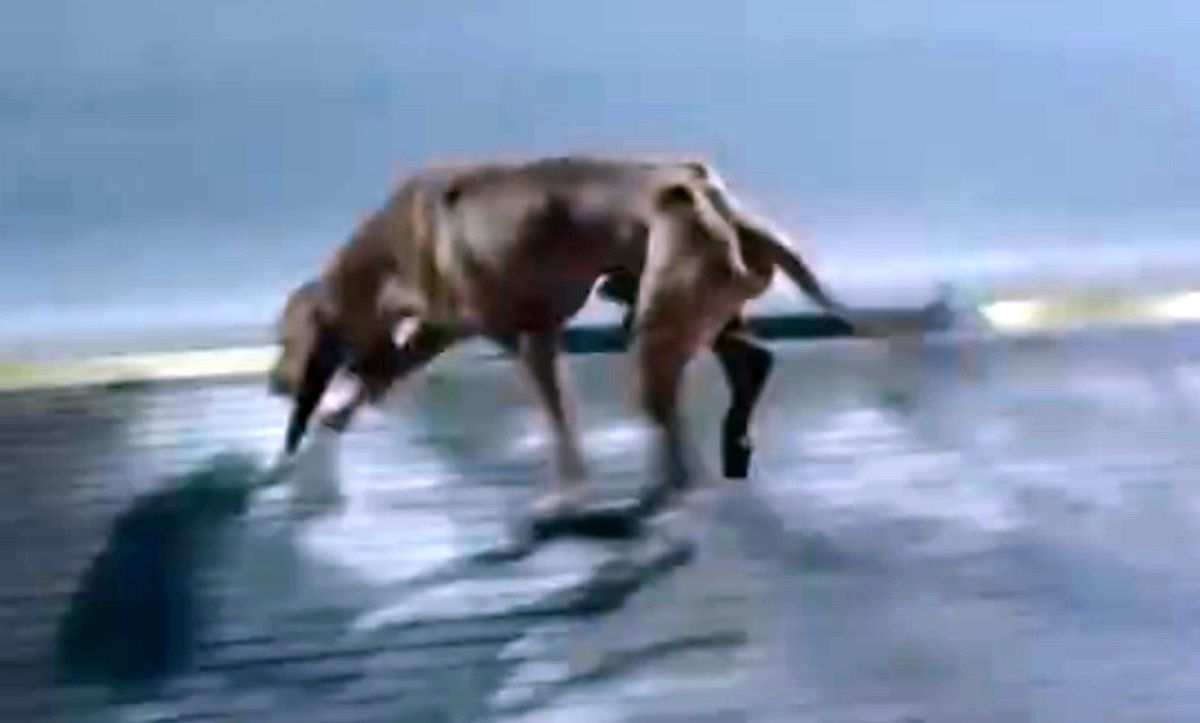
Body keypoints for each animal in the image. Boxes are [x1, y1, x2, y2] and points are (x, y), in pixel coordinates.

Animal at [269, 155, 862, 516]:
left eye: (283, 342)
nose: (275, 383)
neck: (383, 256)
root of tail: (706, 192)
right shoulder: (443, 330)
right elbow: (375, 380)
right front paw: (328, 430)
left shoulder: (527, 338)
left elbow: (560, 421)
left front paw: (567, 494)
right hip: (671, 303)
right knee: (750, 359)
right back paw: (730, 444)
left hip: (656, 325)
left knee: (678, 428)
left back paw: (675, 481)